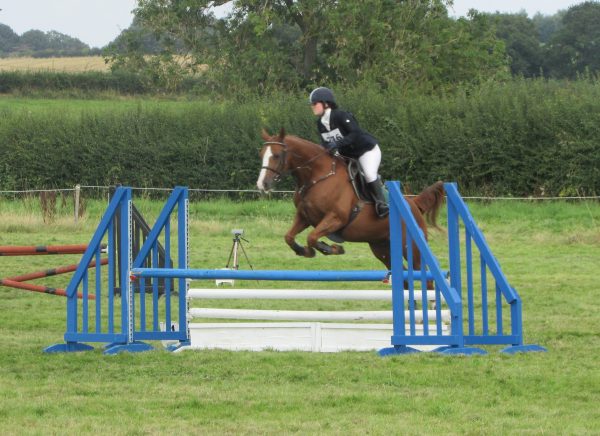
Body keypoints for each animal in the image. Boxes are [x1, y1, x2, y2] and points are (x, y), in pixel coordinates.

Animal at [255, 129, 442, 270]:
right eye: (261, 154)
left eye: (276, 155)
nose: (262, 184)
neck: (317, 176)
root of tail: (414, 203)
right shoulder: (304, 217)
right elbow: (289, 237)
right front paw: (306, 252)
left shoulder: (336, 218)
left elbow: (312, 237)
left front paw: (333, 248)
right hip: (381, 248)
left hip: (411, 246)